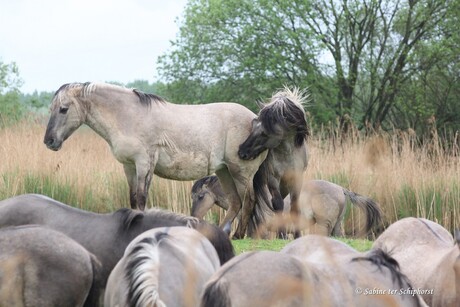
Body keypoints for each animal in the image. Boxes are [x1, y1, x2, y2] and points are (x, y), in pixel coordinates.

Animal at [42, 82, 268, 238]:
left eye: (63, 109)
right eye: (51, 109)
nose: (49, 141)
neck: (128, 117)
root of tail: (255, 120)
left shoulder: (144, 163)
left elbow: (142, 198)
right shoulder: (129, 167)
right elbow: (133, 199)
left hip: (240, 171)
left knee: (248, 201)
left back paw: (238, 235)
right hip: (224, 171)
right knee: (235, 203)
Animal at [237, 88, 310, 237]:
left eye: (264, 133)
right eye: (253, 126)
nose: (242, 151)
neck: (287, 153)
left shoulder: (296, 178)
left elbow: (294, 206)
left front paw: (297, 235)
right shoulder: (273, 178)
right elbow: (278, 204)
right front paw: (281, 235)